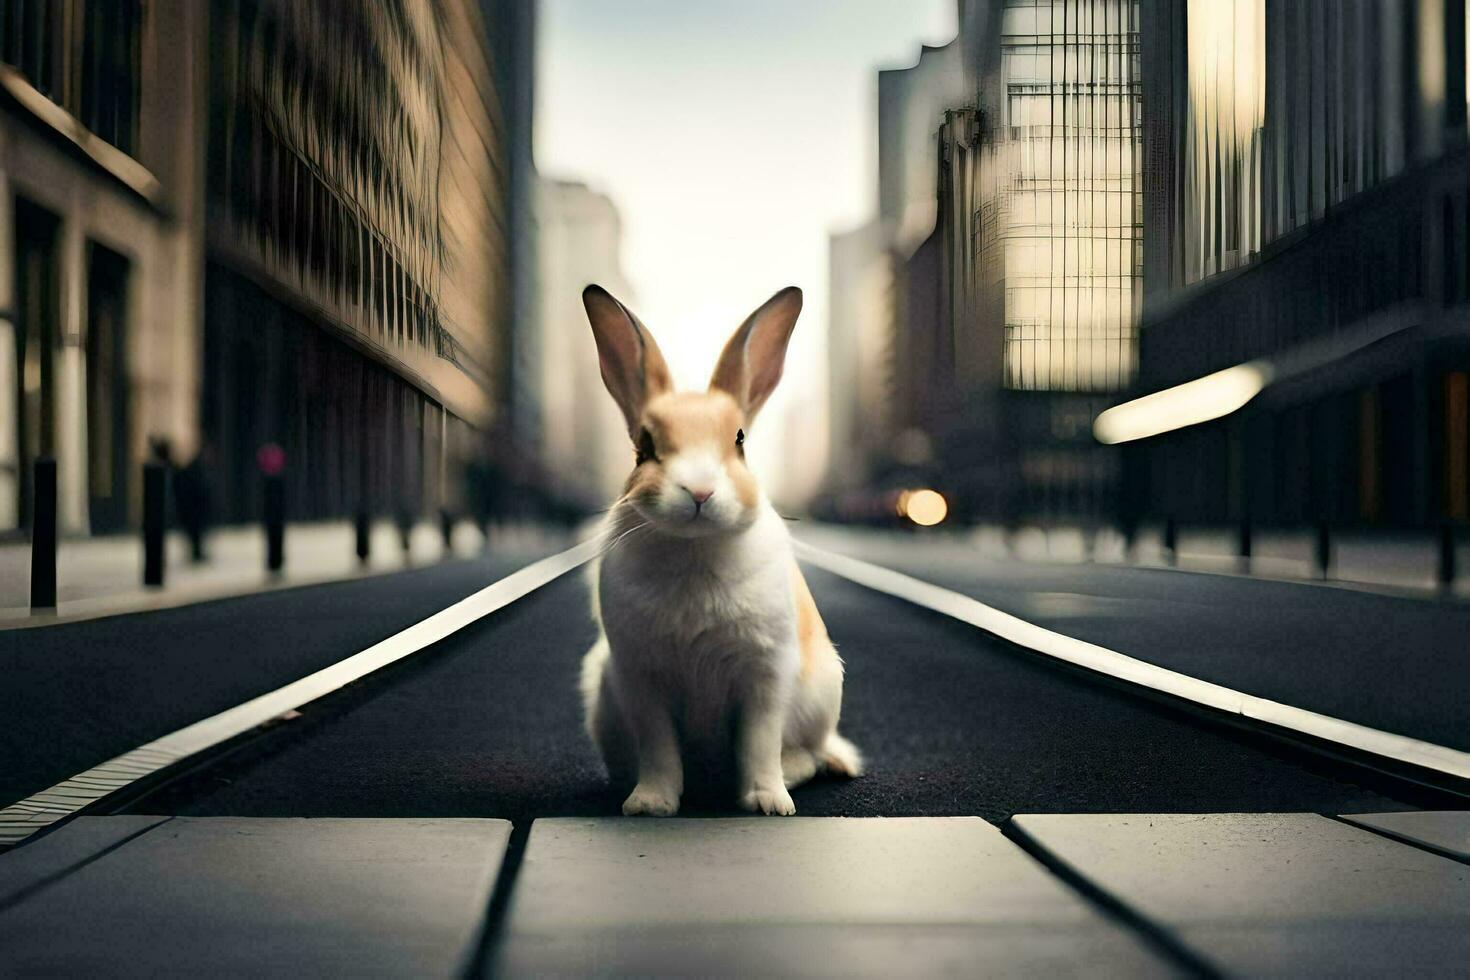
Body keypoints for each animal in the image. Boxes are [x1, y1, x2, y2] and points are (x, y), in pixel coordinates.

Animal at [579, 279, 858, 816]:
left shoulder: (765, 674)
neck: (696, 548)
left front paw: (767, 802)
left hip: (820, 694)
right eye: (644, 447)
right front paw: (650, 804)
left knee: (810, 754)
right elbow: (659, 749)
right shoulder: (641, 678)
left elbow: (758, 743)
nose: (700, 491)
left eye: (740, 440)